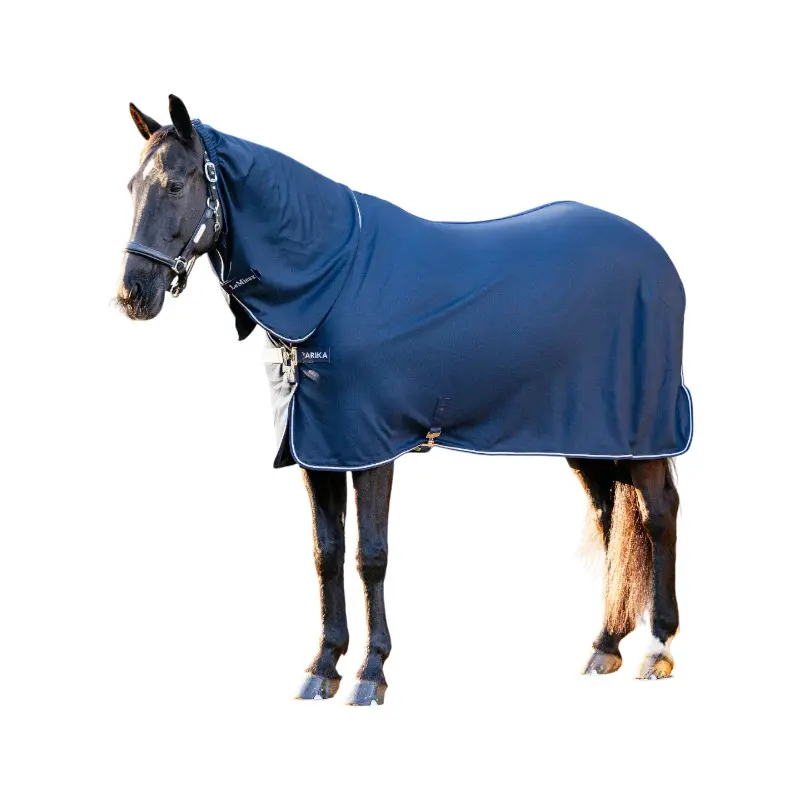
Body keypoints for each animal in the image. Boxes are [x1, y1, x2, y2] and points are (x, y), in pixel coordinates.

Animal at [117, 95, 691, 704]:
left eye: (175, 184)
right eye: (131, 186)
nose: (133, 294)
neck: (334, 281)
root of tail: (658, 258)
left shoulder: (370, 447)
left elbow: (371, 555)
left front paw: (371, 672)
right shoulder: (319, 449)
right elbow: (326, 553)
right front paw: (323, 665)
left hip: (645, 430)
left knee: (657, 516)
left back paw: (656, 649)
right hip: (588, 436)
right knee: (610, 520)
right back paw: (605, 645)